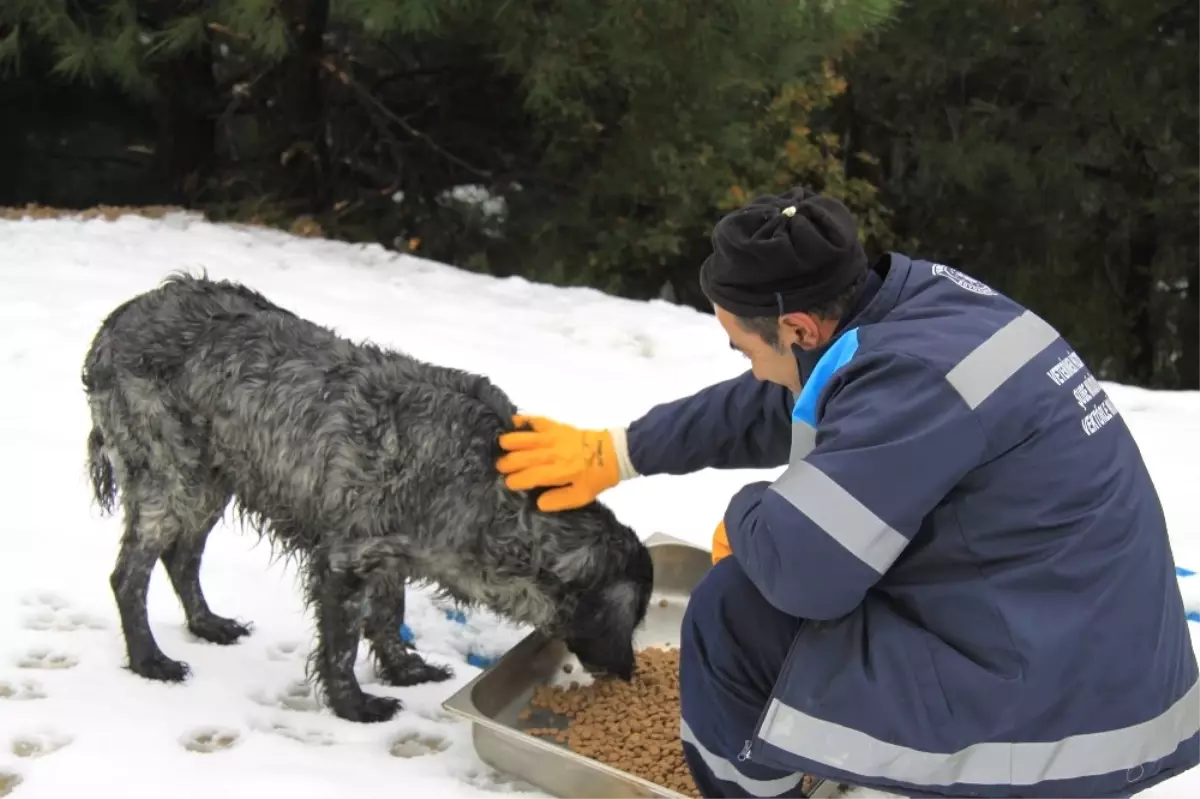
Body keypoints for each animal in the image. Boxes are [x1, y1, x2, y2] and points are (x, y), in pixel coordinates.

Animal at [82, 272, 657, 719]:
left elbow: (385, 617)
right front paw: (354, 706)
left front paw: (404, 670)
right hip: (171, 477)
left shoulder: (391, 557)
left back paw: (208, 625)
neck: (486, 486)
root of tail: (118, 320)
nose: (629, 673)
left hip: (211, 483)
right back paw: (149, 661)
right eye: (632, 617)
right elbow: (341, 647)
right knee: (128, 577)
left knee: (182, 559)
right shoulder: (344, 561)